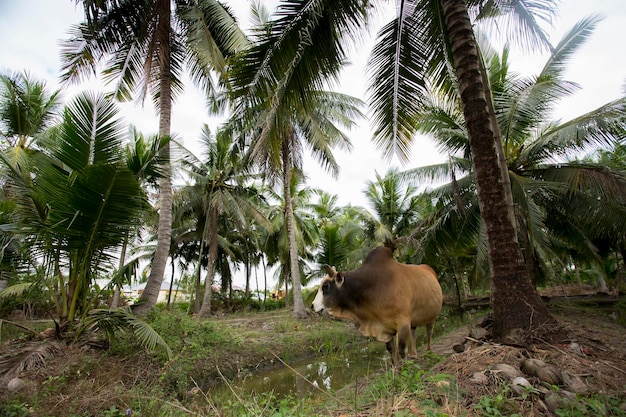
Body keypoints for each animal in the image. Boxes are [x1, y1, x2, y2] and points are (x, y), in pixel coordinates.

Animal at [310, 247, 442, 364]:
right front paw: (396, 372)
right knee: (414, 333)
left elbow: (402, 350)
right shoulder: (386, 328)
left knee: (429, 333)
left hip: (432, 316)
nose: (312, 305)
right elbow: (391, 351)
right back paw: (414, 355)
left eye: (326, 286)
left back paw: (429, 351)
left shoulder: (403, 323)